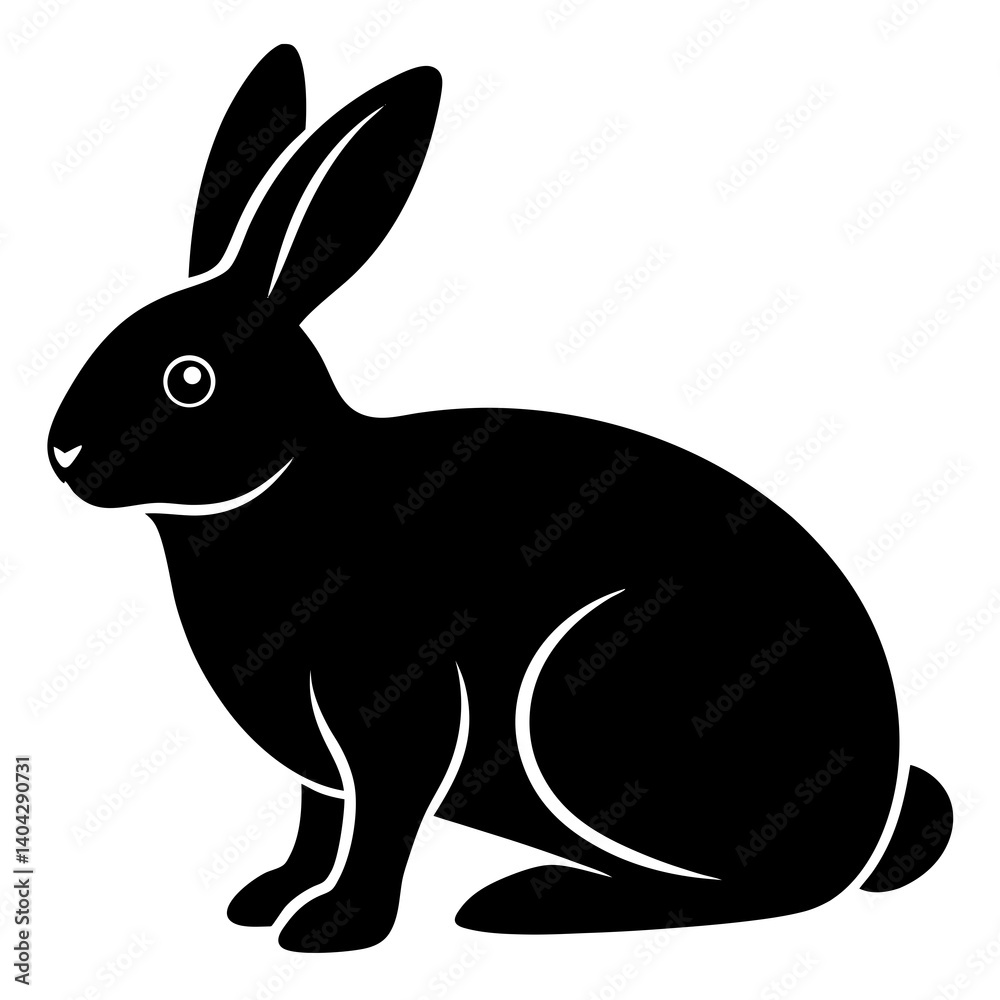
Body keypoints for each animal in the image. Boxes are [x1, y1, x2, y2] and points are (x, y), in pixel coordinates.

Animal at [48, 45, 953, 952]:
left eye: (188, 379)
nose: (62, 452)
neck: (291, 480)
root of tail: (868, 820)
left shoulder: (391, 706)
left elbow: (381, 821)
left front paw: (332, 928)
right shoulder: (318, 766)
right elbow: (317, 823)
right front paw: (267, 899)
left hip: (591, 707)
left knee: (765, 892)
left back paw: (525, 903)